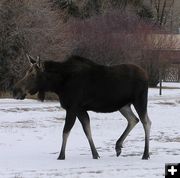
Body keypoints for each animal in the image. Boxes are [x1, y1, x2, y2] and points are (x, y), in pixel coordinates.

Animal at [12, 54, 151, 160]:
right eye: (26, 72)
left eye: (32, 75)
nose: (15, 91)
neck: (58, 84)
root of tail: (146, 75)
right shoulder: (80, 109)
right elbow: (87, 129)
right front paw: (95, 154)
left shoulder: (72, 107)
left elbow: (66, 131)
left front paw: (61, 156)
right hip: (123, 105)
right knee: (133, 119)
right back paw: (118, 146)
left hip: (140, 99)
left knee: (146, 122)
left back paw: (145, 154)